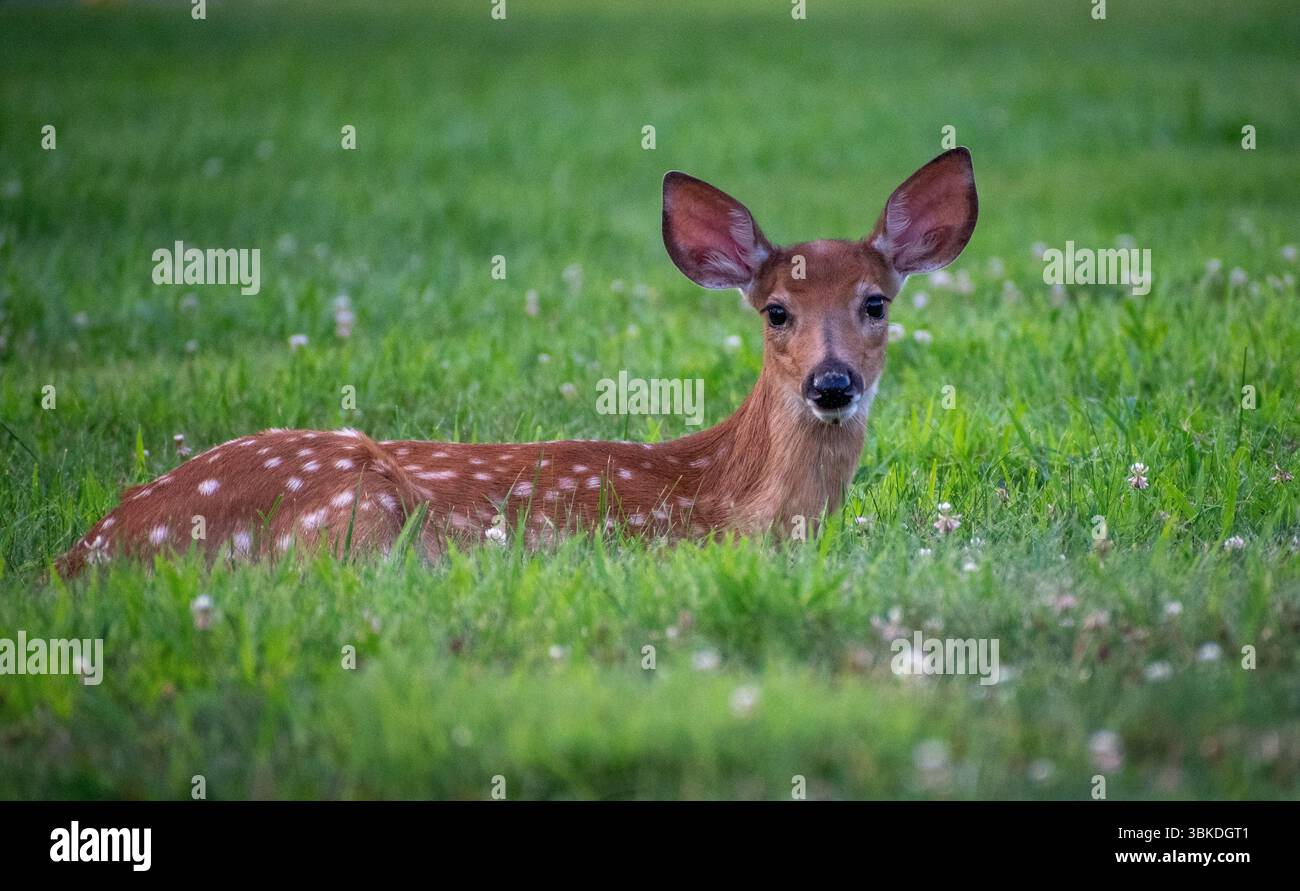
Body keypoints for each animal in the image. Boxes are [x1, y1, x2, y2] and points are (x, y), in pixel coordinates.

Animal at [56, 148, 978, 577]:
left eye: (876, 302)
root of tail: (80, 555)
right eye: (776, 310)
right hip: (353, 507)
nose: (832, 383)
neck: (730, 498)